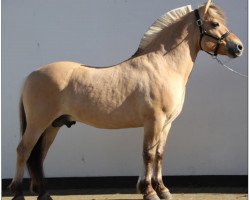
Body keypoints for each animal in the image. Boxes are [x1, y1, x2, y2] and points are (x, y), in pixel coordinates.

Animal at [9, 0, 242, 199]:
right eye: (215, 23)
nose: (238, 47)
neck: (162, 65)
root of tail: (32, 74)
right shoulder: (154, 121)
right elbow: (148, 154)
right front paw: (149, 191)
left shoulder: (166, 124)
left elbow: (159, 154)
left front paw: (163, 190)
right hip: (38, 123)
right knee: (24, 151)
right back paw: (18, 193)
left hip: (52, 126)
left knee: (39, 155)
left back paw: (44, 194)